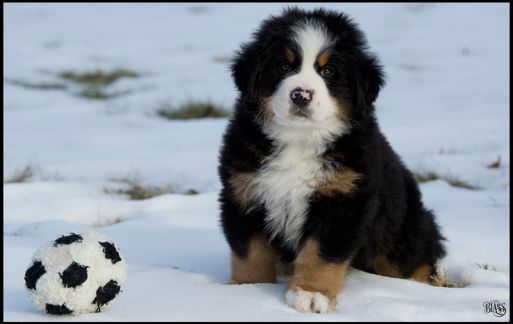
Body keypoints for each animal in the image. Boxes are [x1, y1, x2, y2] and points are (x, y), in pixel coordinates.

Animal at [216, 6, 444, 312]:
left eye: (328, 71)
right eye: (284, 67)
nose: (301, 95)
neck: (299, 140)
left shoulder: (343, 201)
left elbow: (321, 255)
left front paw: (312, 294)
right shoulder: (243, 193)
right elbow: (249, 251)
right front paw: (244, 290)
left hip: (402, 233)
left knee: (416, 262)